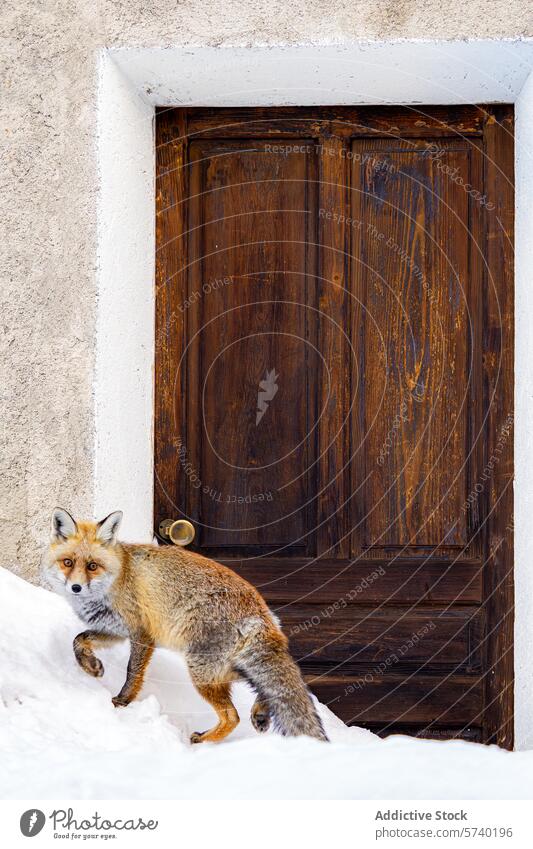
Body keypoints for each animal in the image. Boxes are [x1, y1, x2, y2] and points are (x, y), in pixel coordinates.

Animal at [41, 510, 326, 744]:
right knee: (265, 688)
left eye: (92, 566)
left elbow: (132, 672)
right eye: (68, 562)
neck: (119, 576)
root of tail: (261, 612)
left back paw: (206, 740)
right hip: (221, 667)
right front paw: (92, 667)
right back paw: (260, 713)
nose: (76, 587)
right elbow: (79, 639)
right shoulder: (114, 630)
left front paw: (122, 701)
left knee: (233, 716)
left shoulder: (142, 634)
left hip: (200, 669)